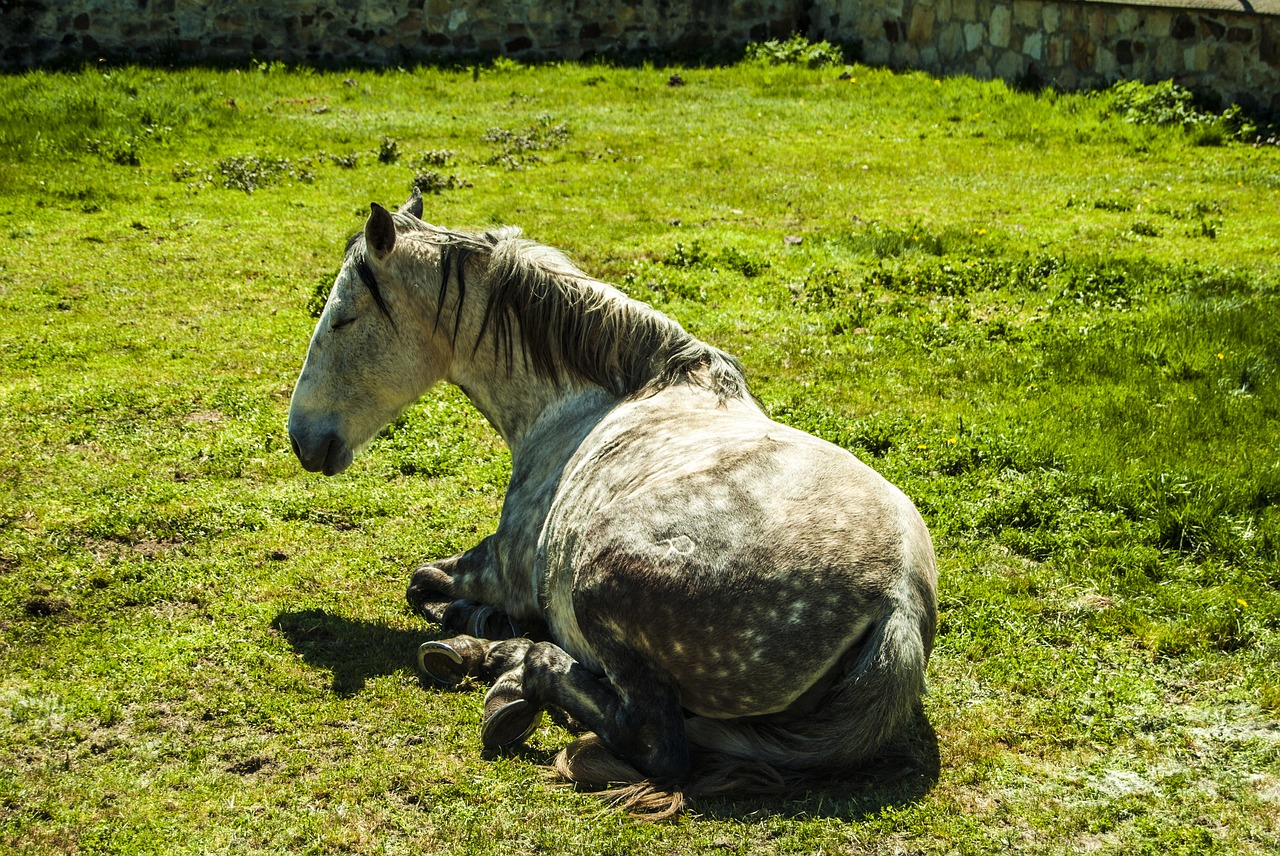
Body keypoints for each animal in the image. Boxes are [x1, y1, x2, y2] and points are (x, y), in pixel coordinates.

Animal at [290, 190, 942, 813]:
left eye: (343, 318)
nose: (301, 438)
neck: (589, 402)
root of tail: (898, 604)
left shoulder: (501, 568)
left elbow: (422, 583)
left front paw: (473, 627)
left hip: (599, 587)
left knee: (656, 743)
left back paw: (518, 669)